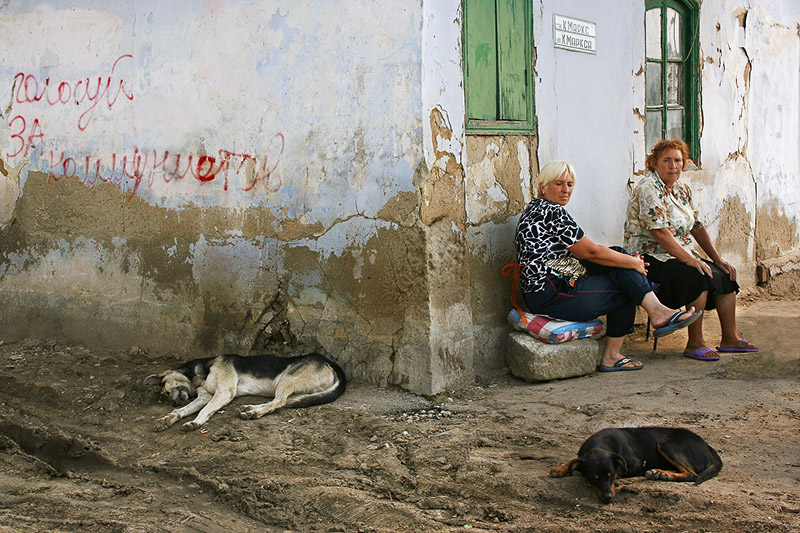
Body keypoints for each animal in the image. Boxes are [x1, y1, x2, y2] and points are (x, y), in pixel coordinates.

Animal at [145, 354, 346, 432]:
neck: (200, 372)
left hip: (286, 379)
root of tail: (330, 362)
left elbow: (204, 410)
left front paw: (196, 422)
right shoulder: (204, 396)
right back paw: (249, 408)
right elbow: (183, 410)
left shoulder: (224, 391)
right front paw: (167, 418)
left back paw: (253, 412)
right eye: (165, 394)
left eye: (167, 388)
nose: (173, 402)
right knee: (276, 402)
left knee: (279, 402)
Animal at [552, 424, 720, 502]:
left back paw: (662, 474)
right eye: (595, 478)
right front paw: (560, 469)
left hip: (666, 443)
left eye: (611, 476)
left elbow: (620, 471)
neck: (598, 445)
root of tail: (707, 446)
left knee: (692, 474)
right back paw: (659, 474)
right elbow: (574, 461)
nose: (608, 498)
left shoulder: (634, 465)